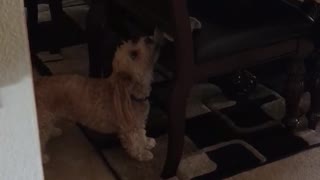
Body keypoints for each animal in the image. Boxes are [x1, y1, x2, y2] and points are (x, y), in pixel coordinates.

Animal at [35, 29, 162, 163]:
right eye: (134, 54)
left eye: (134, 41)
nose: (148, 38)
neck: (130, 92)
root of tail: (36, 83)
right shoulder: (130, 128)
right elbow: (135, 143)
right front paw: (143, 154)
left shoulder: (139, 122)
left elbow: (142, 134)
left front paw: (147, 142)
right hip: (43, 121)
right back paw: (42, 157)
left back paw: (54, 131)